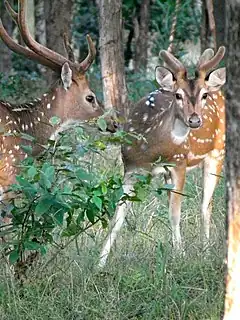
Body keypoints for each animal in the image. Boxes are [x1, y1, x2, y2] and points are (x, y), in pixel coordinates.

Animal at [98, 45, 226, 268]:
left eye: (204, 95)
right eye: (177, 95)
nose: (195, 120)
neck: (152, 152)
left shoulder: (179, 164)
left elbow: (175, 214)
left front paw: (181, 256)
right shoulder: (130, 168)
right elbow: (117, 217)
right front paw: (100, 263)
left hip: (218, 152)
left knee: (205, 205)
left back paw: (206, 251)